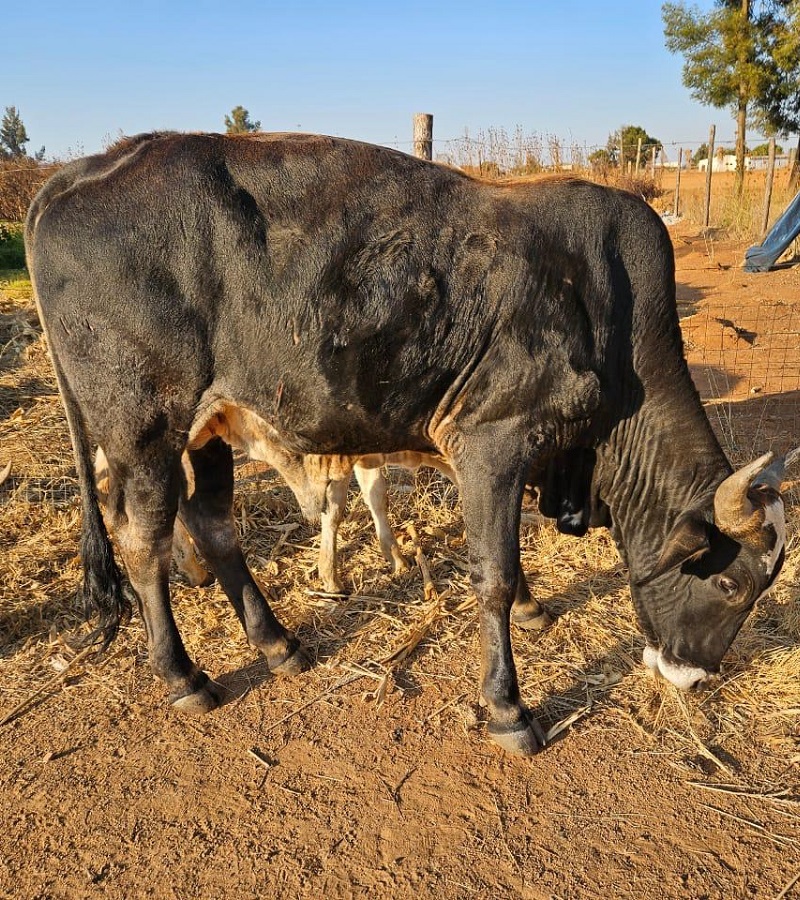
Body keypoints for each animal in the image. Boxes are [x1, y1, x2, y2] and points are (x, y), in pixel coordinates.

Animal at [25, 131, 794, 756]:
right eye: (730, 583)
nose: (691, 677)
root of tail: (86, 168)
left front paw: (533, 611)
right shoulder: (493, 438)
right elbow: (493, 572)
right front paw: (509, 708)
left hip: (205, 427)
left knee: (212, 524)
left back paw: (278, 643)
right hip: (141, 427)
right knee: (142, 539)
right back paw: (185, 675)